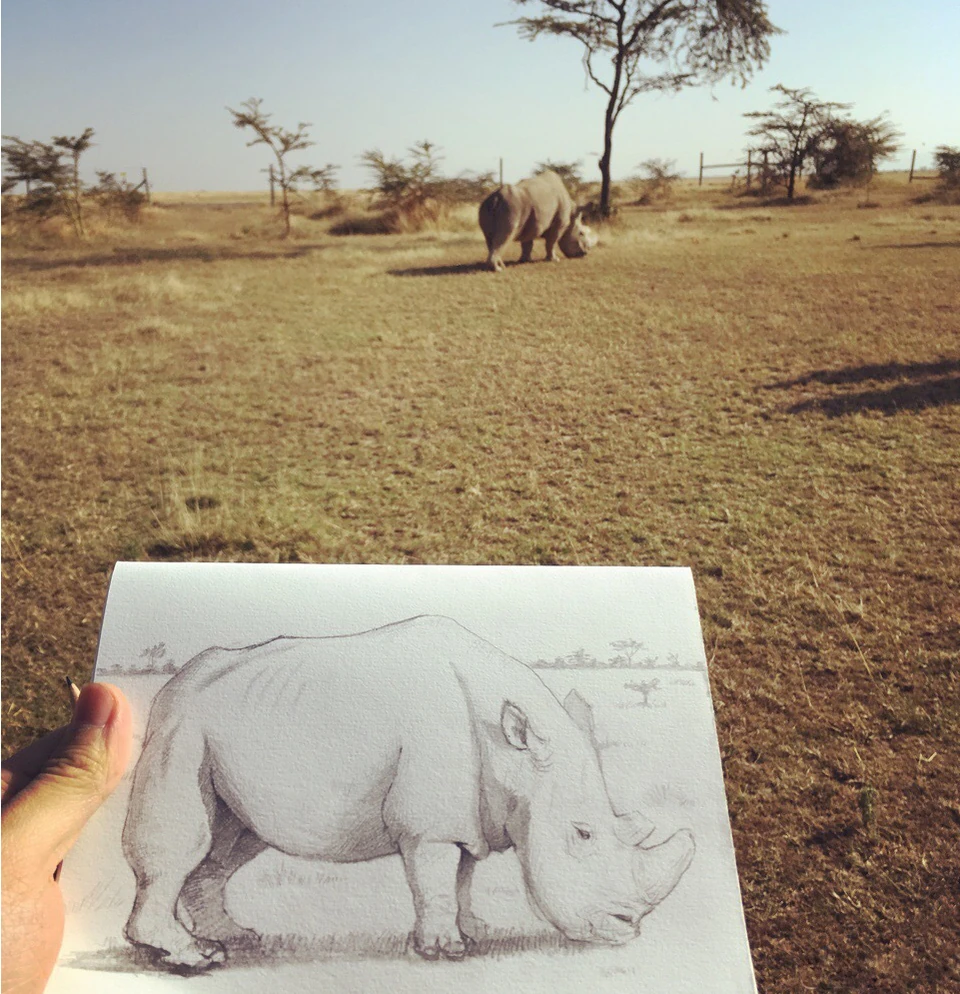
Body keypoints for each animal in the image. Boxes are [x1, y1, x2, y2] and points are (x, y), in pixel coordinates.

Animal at [122, 615, 694, 970]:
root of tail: (179, 679)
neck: (515, 760)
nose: (625, 930)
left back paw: (236, 938)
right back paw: (195, 958)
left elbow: (461, 875)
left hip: (233, 727)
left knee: (232, 842)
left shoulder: (470, 812)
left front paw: (476, 932)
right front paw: (446, 951)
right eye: (582, 834)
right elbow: (436, 878)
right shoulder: (431, 823)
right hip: (180, 725)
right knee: (185, 835)